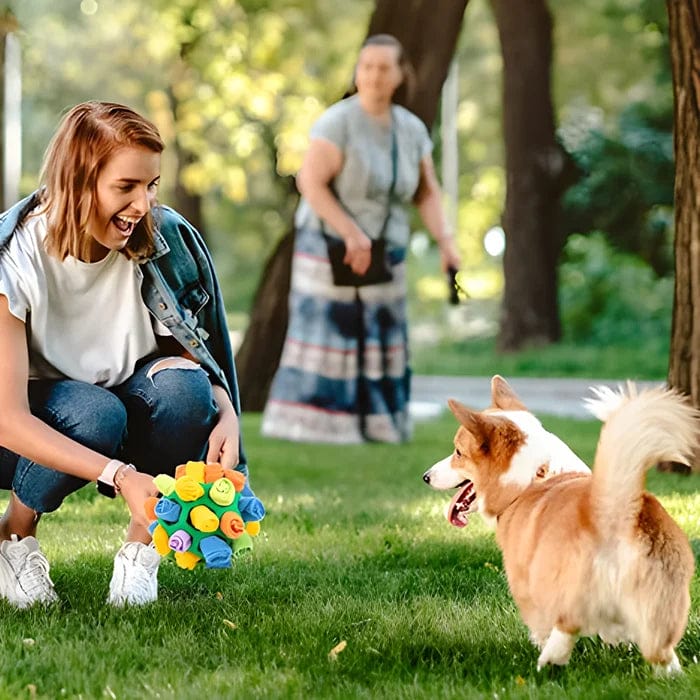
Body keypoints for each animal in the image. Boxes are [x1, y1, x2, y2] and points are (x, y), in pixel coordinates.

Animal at [424, 374, 696, 676]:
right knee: (660, 649)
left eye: (458, 453)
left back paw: (548, 663)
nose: (426, 476)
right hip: (661, 600)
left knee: (566, 626)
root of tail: (614, 510)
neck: (533, 478)